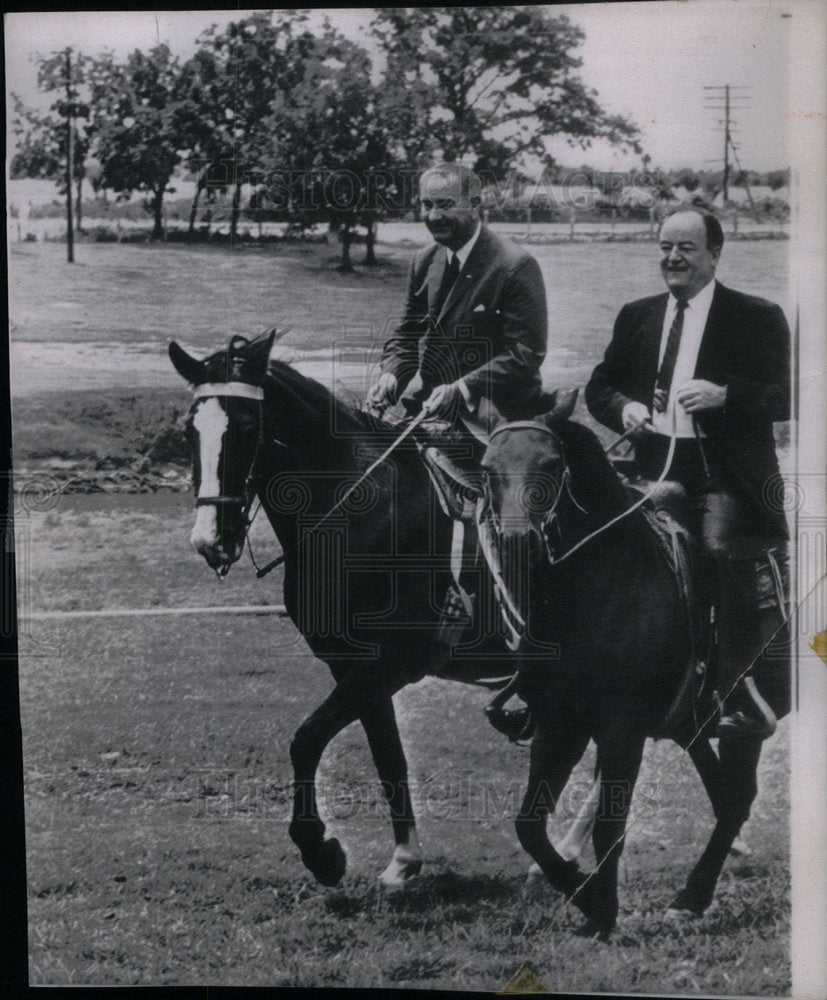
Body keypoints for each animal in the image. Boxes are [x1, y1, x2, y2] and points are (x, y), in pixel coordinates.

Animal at [482, 410, 792, 932]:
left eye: (551, 464)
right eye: (487, 468)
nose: (518, 544)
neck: (599, 588)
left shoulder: (620, 730)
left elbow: (610, 827)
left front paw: (602, 909)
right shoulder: (560, 725)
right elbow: (529, 825)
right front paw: (583, 894)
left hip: (741, 722)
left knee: (737, 796)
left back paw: (692, 893)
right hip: (691, 726)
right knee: (729, 799)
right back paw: (692, 895)